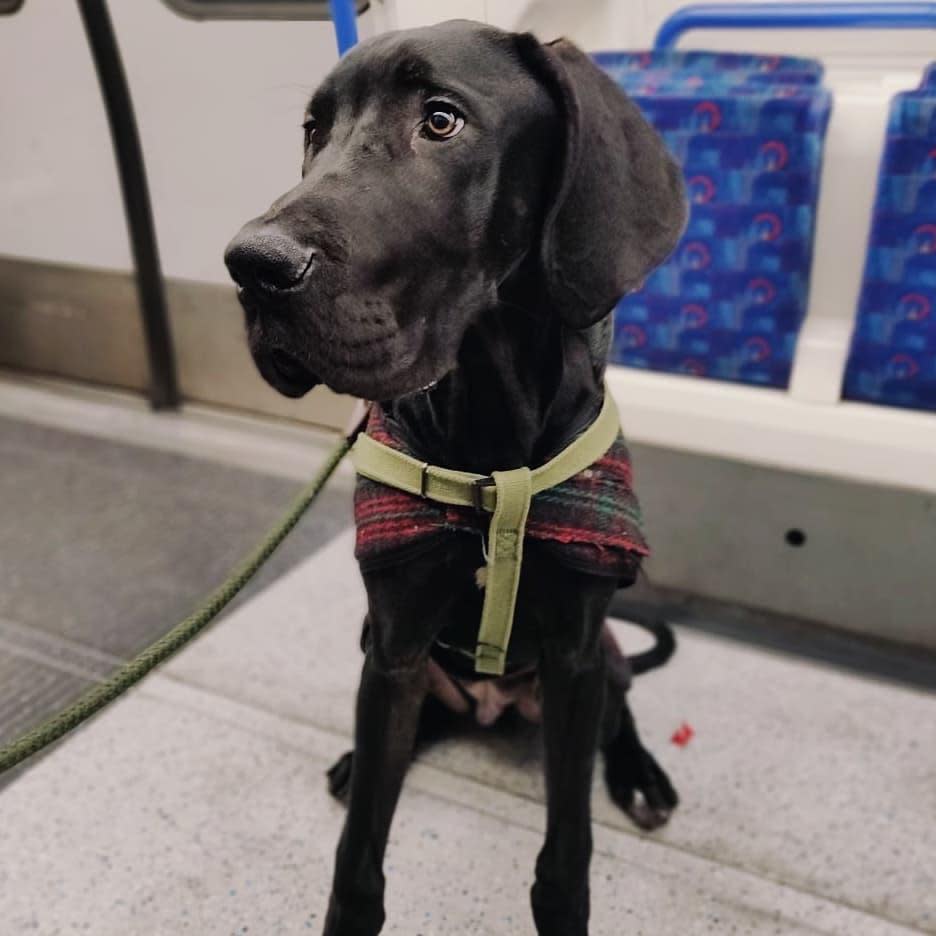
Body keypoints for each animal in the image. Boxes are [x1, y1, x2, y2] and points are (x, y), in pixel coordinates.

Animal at [224, 18, 684, 932]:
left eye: (442, 120)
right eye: (315, 130)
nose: (250, 266)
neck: (490, 450)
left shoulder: (576, 650)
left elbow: (566, 852)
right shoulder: (395, 643)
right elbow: (362, 852)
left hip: (605, 659)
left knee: (622, 712)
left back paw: (640, 775)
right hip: (377, 648)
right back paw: (355, 759)